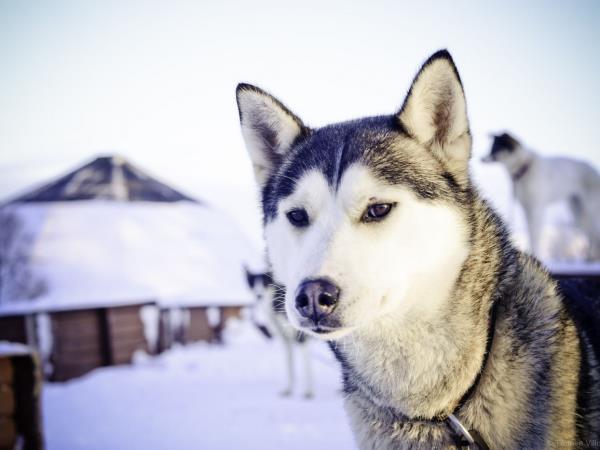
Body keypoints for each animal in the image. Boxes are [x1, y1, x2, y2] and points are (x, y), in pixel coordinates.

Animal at [244, 268, 314, 398]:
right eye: (253, 283)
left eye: (264, 283)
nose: (258, 295)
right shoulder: (286, 341)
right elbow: (289, 366)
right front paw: (288, 389)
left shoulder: (301, 339)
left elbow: (306, 368)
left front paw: (308, 391)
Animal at [482, 132, 600, 262]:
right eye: (491, 147)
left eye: (495, 148)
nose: (481, 159)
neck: (525, 168)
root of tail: (595, 172)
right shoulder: (527, 210)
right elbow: (530, 233)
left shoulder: (536, 210)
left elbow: (535, 235)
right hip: (577, 213)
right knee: (590, 233)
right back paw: (589, 257)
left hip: (590, 210)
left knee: (594, 233)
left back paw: (592, 257)